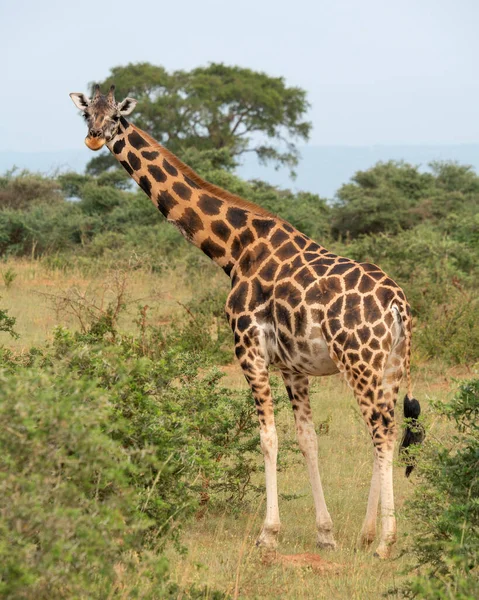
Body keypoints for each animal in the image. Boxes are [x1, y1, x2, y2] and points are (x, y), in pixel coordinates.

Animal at [69, 86, 422, 560]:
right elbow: (307, 439)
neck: (234, 249)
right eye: (87, 113)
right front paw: (325, 533)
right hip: (390, 366)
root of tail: (398, 304)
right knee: (387, 429)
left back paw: (384, 541)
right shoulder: (292, 366)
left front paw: (267, 534)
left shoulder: (249, 349)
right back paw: (367, 533)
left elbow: (267, 437)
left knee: (381, 431)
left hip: (360, 361)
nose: (93, 138)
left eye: (116, 119)